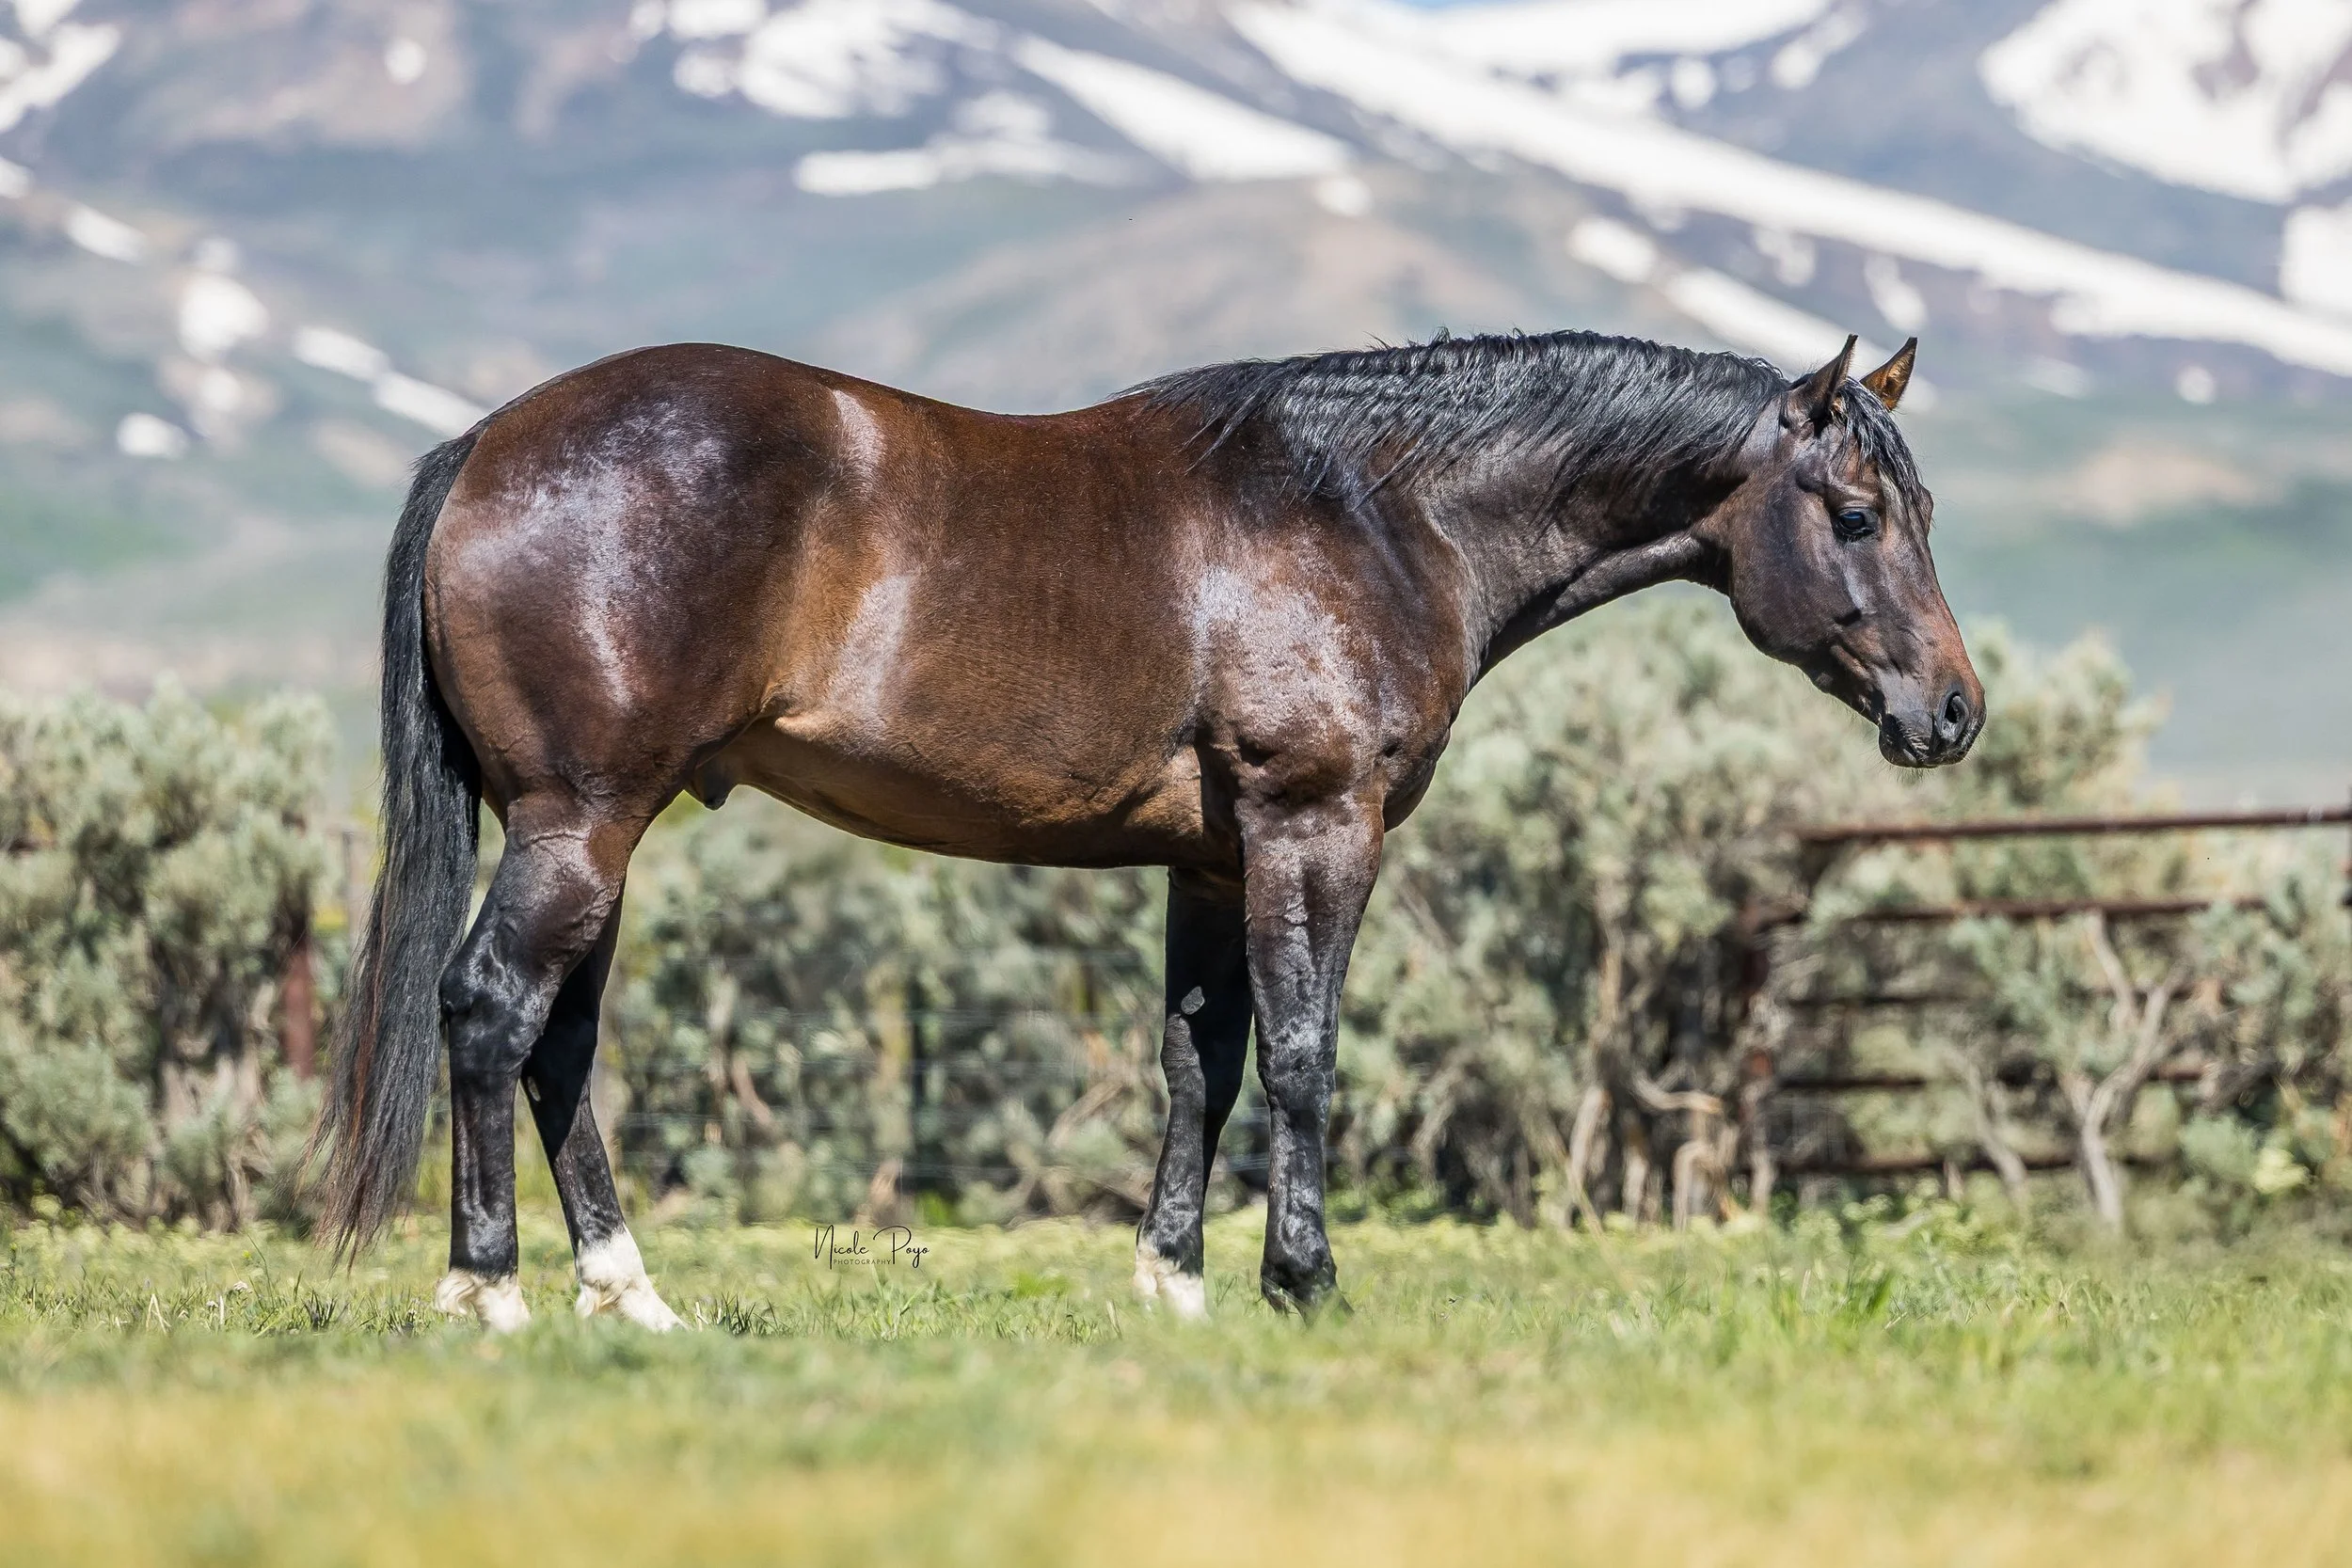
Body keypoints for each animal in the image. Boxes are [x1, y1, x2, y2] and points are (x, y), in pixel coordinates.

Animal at [308, 327, 1980, 1329]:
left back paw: (628, 1296)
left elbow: (1204, 1062)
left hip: (596, 835)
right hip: (578, 824)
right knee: (491, 1013)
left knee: (559, 1044)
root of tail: (486, 446)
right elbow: (1302, 1056)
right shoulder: (1316, 829)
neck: (1372, 512)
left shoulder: (1210, 857)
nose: (1953, 713)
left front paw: (1172, 1281)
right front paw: (1304, 1280)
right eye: (1854, 516)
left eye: (1920, 510)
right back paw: (489, 1292)